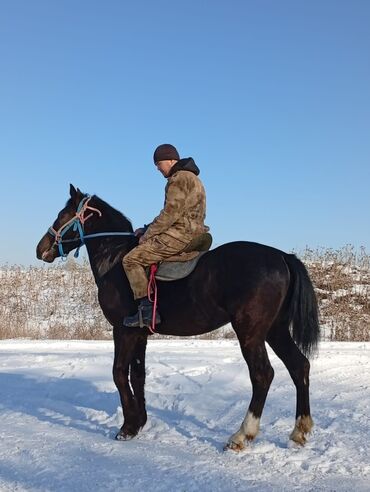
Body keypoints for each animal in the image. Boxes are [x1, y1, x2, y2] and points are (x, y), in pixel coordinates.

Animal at [36, 186, 320, 452]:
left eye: (63, 214)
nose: (41, 249)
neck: (115, 261)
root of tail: (282, 256)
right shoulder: (139, 333)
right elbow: (138, 375)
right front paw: (139, 422)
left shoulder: (122, 331)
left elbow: (118, 374)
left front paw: (127, 427)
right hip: (275, 330)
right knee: (299, 366)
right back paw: (300, 430)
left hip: (251, 333)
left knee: (263, 374)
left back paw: (241, 435)